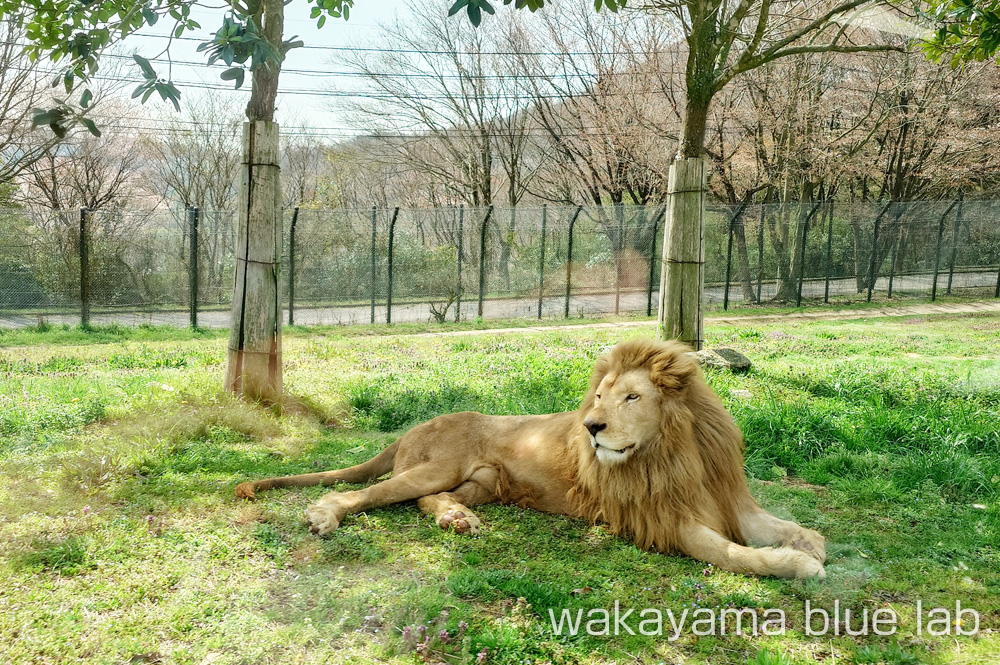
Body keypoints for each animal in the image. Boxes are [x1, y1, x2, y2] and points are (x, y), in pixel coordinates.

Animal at [236, 338, 828, 576]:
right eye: (599, 396)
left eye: (631, 397)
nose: (591, 428)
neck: (675, 450)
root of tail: (412, 427)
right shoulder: (657, 518)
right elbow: (730, 552)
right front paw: (798, 565)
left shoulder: (728, 497)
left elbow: (777, 525)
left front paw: (808, 543)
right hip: (435, 464)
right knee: (364, 493)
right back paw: (325, 515)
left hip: (482, 482)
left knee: (431, 500)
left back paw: (457, 519)